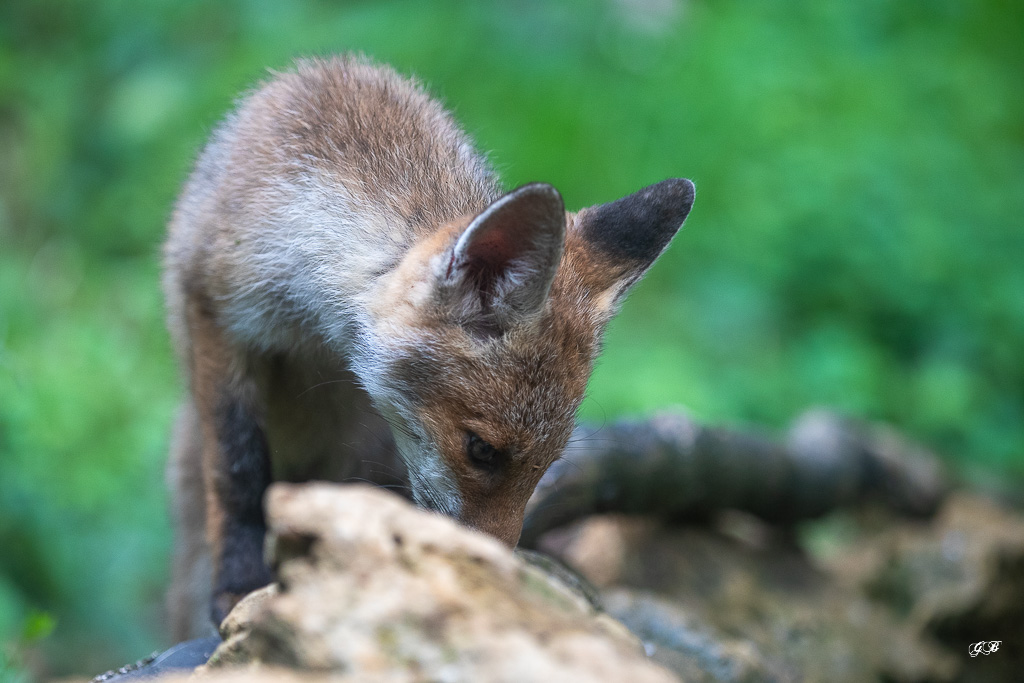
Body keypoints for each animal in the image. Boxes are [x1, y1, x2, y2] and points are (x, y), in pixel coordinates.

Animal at [163, 54, 694, 640]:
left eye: (550, 462)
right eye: (481, 450)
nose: (499, 582)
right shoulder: (216, 309)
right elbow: (236, 469)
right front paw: (239, 584)